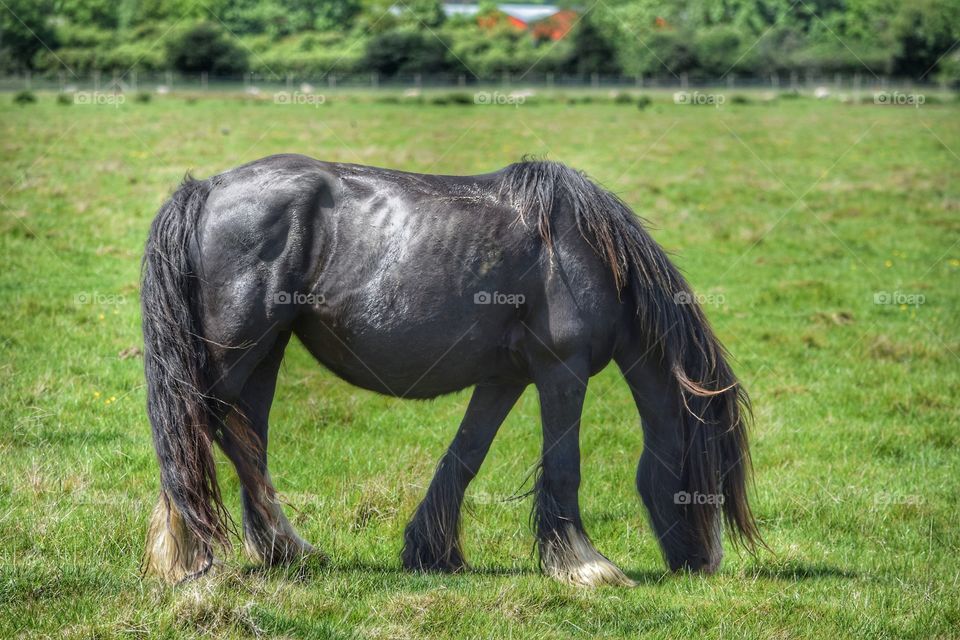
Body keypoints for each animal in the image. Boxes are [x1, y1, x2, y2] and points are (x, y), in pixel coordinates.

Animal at [140, 154, 759, 587]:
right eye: (706, 475)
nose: (705, 564)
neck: (585, 251)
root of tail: (207, 190)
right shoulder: (563, 369)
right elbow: (564, 465)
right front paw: (586, 566)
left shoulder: (506, 378)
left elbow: (465, 457)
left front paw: (431, 550)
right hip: (235, 351)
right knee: (194, 434)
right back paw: (190, 557)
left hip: (265, 353)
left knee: (242, 442)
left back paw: (282, 550)